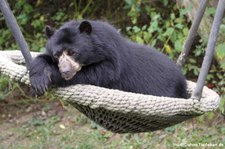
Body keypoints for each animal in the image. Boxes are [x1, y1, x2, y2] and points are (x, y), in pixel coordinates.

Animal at [29, 20, 188, 99]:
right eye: (57, 55)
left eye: (73, 52)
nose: (65, 71)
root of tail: (183, 82)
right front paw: (38, 81)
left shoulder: (113, 62)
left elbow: (98, 73)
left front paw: (52, 74)